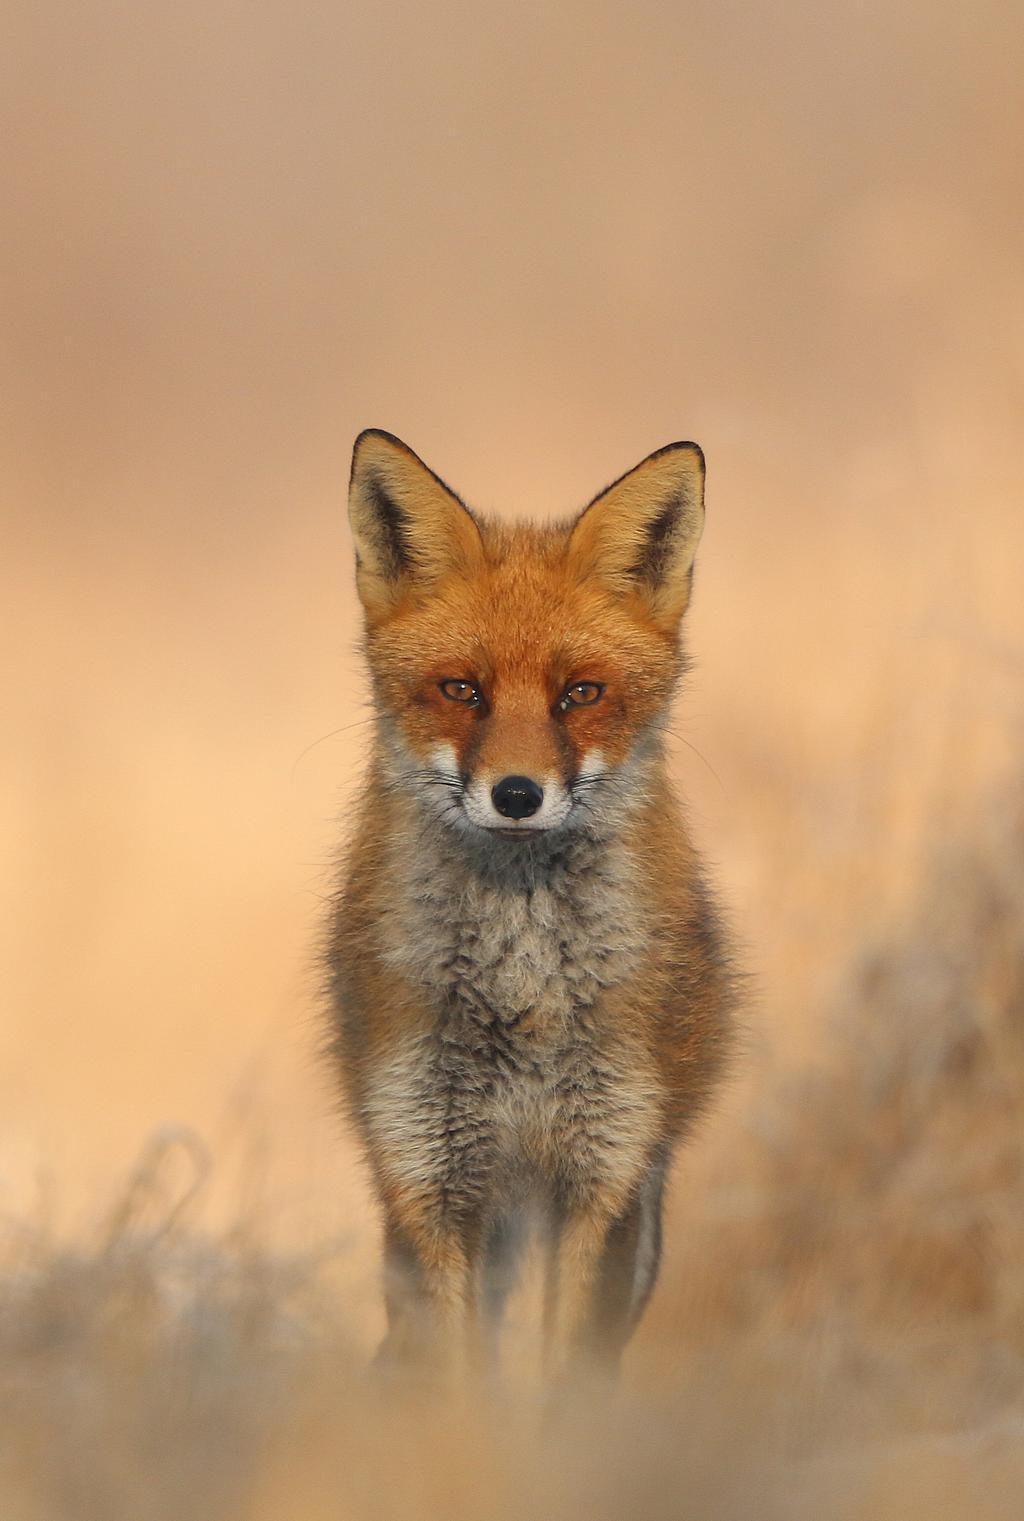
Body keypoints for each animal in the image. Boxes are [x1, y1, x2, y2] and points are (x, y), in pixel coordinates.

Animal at [327, 428, 736, 1381]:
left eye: (579, 693)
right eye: (462, 689)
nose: (517, 794)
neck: (521, 989)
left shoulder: (605, 1172)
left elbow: (566, 1383)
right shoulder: (427, 1176)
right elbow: (454, 1383)